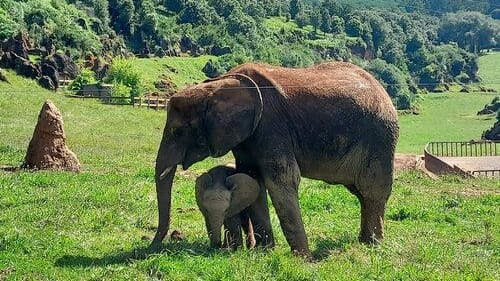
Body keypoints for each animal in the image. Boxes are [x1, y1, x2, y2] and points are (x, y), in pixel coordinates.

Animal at [152, 61, 398, 256]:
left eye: (177, 132)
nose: (152, 248)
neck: (217, 85)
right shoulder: (247, 136)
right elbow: (254, 179)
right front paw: (264, 252)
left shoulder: (271, 125)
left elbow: (282, 179)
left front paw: (303, 259)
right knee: (360, 193)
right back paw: (364, 242)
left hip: (380, 137)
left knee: (372, 190)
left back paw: (372, 245)